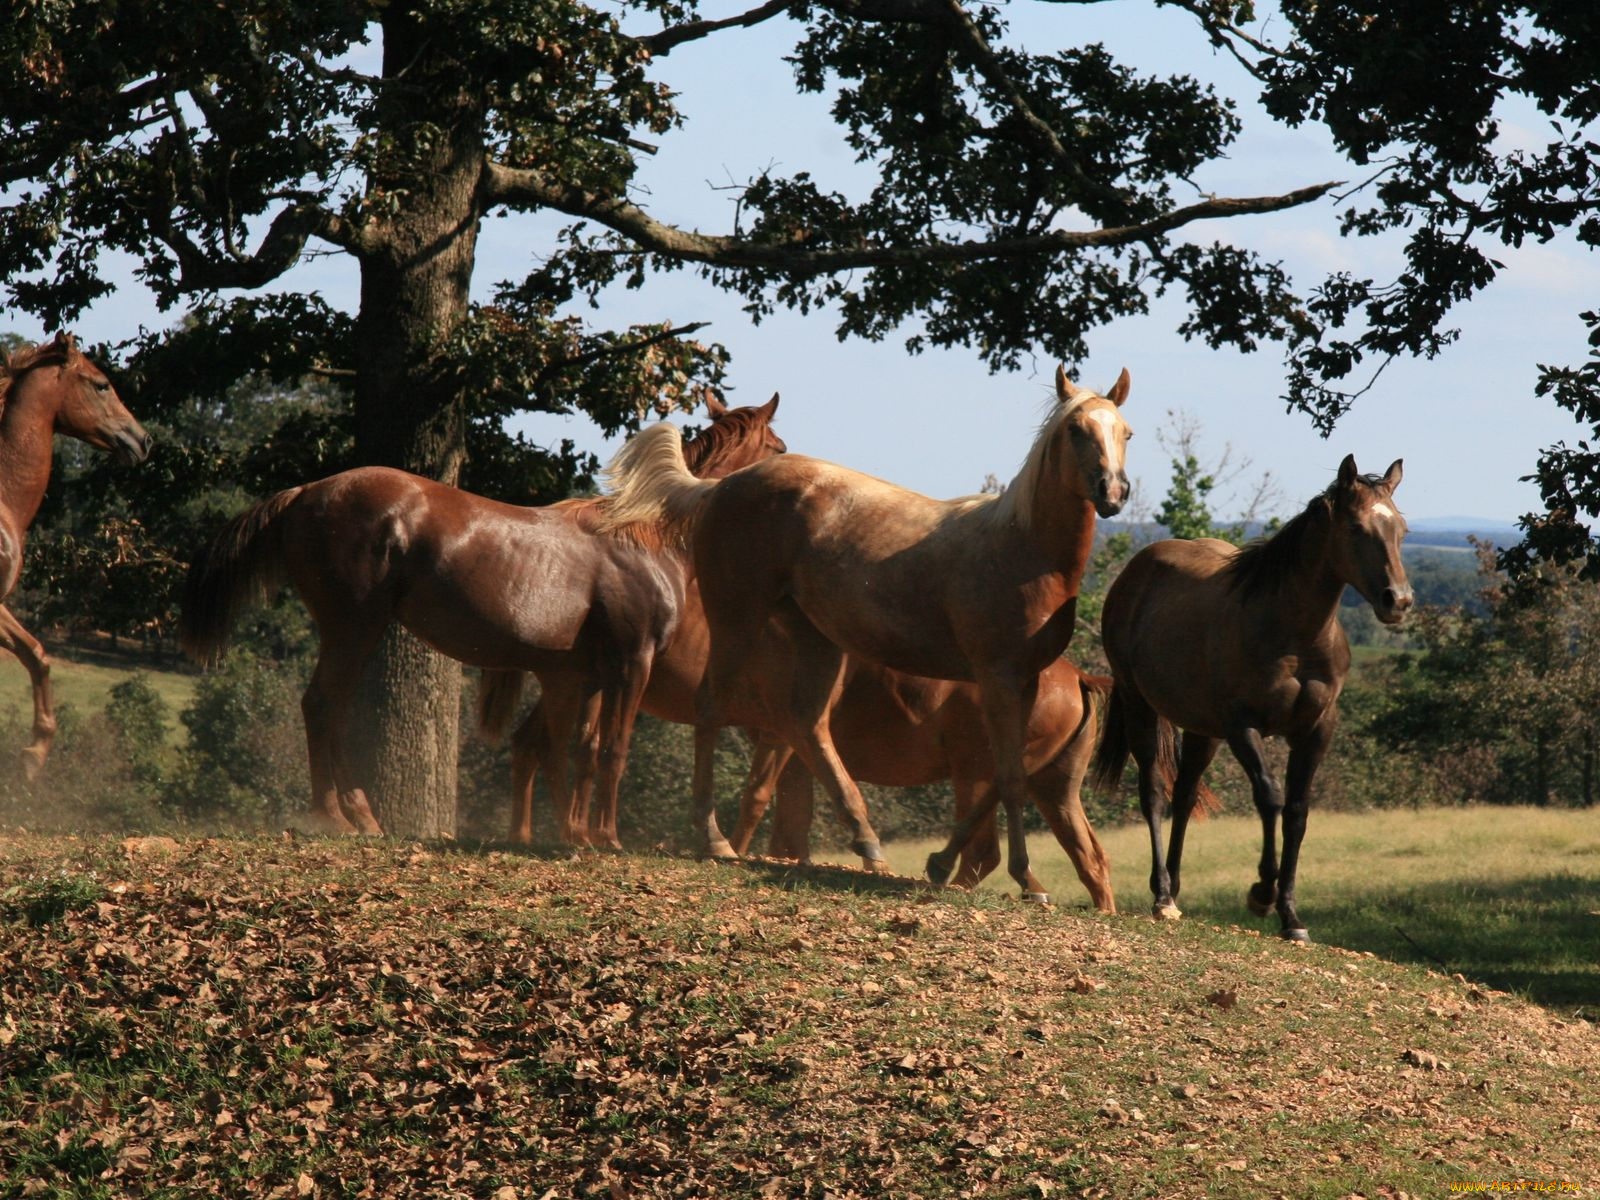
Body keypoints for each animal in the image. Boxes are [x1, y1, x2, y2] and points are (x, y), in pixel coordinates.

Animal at [184, 395, 784, 838]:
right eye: (778, 446)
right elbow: (613, 751)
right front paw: (605, 838)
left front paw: (575, 835)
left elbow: (581, 751)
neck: (642, 535)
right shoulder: (632, 663)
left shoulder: (590, 675)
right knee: (325, 706)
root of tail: (306, 490)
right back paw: (342, 816)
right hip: (353, 629)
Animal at [601, 361, 1139, 889]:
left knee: (808, 724)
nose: (1113, 493)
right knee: (712, 707)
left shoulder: (1022, 682)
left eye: (1125, 432)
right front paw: (1026, 878)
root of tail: (718, 488)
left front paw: (947, 864)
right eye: (1075, 429)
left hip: (816, 639)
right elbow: (1008, 776)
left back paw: (867, 844)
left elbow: (1012, 771)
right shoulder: (998, 678)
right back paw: (714, 840)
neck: (1021, 549)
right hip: (737, 620)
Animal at [1088, 454, 1414, 947]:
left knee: (1185, 794)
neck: (1292, 632)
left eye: (1402, 528)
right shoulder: (1243, 726)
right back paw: (1162, 895)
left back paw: (1176, 887)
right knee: (1154, 793)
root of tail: (1136, 571)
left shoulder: (1316, 730)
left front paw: (1291, 915)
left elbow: (1297, 811)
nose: (1399, 600)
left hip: (1201, 730)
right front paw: (1262, 891)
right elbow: (1270, 797)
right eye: (1356, 528)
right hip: (1139, 704)